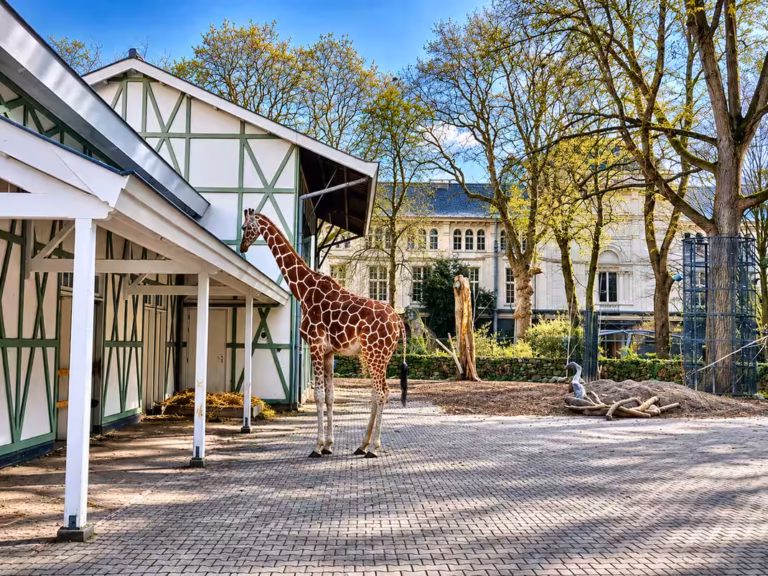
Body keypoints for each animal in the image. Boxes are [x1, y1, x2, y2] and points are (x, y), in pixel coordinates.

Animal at [240, 210, 408, 458]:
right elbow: (330, 396)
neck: (304, 291)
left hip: (374, 353)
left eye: (244, 227)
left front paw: (317, 447)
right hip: (381, 356)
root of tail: (398, 320)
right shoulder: (328, 352)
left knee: (382, 393)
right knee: (376, 394)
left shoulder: (316, 345)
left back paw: (374, 448)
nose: (242, 246)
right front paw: (328, 444)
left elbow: (319, 395)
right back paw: (362, 445)